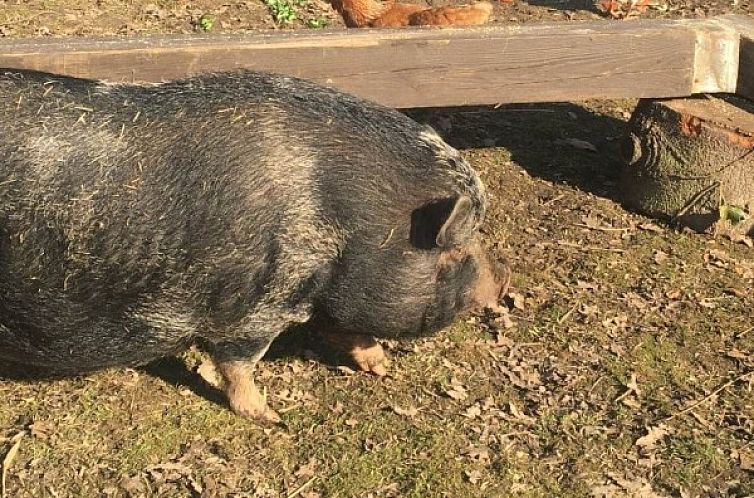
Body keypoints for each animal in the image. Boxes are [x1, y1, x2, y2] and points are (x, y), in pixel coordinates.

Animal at [0, 68, 508, 422]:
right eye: (459, 247)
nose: (502, 279)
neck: (350, 228)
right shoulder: (257, 305)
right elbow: (239, 362)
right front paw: (272, 417)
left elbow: (345, 329)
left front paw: (380, 368)